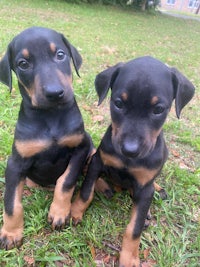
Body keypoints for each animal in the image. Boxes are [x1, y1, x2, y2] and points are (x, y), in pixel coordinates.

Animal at [0, 26, 93, 250]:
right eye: (23, 64)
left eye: (60, 55)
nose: (54, 93)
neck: (51, 117)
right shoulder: (15, 163)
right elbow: (11, 203)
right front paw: (11, 233)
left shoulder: (80, 148)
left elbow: (65, 181)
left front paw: (59, 212)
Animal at [71, 57, 195, 267]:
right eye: (118, 103)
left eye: (158, 109)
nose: (130, 150)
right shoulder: (98, 161)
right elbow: (86, 192)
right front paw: (73, 213)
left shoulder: (145, 187)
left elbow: (134, 228)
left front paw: (129, 258)